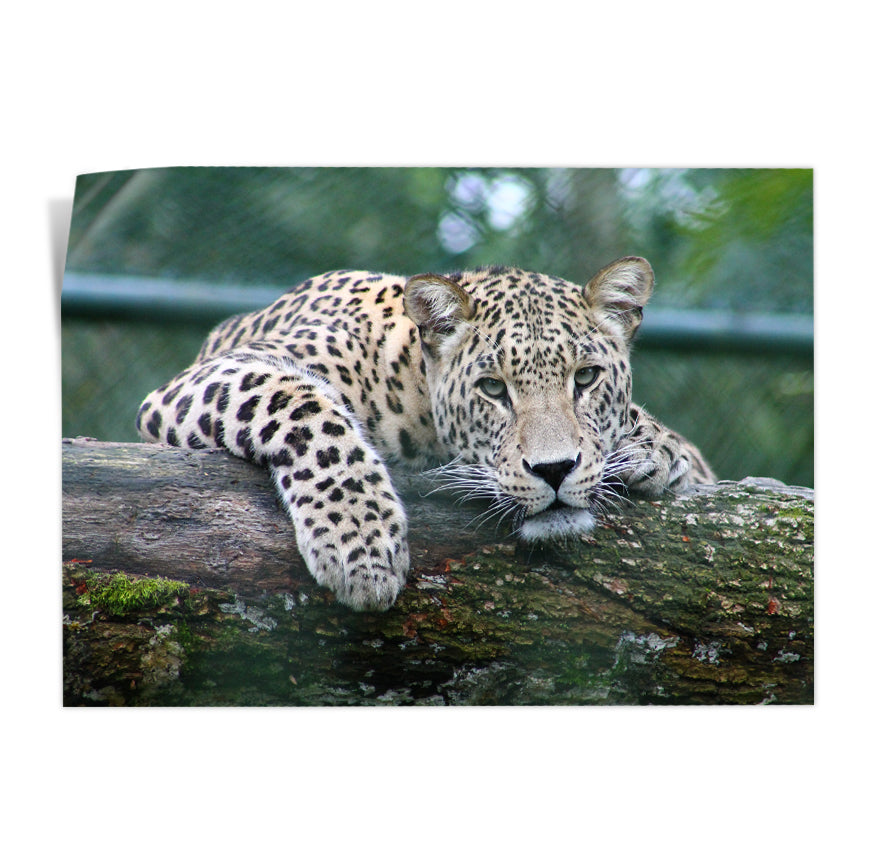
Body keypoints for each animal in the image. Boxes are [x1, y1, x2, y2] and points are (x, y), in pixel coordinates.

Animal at [137, 256, 715, 611]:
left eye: (587, 378)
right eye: (492, 388)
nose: (554, 470)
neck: (412, 387)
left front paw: (655, 449)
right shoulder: (204, 379)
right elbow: (303, 405)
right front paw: (361, 542)